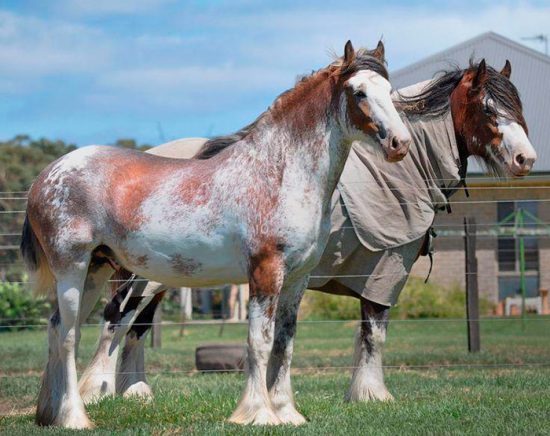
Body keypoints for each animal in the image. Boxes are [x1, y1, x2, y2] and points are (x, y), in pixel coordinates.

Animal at [19, 41, 412, 430]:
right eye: (358, 92)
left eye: (389, 91)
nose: (399, 144)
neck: (279, 174)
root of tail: (47, 175)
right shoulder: (265, 272)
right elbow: (259, 342)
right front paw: (258, 413)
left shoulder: (297, 279)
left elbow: (284, 344)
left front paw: (287, 412)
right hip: (73, 268)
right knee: (69, 336)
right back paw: (74, 418)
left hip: (96, 270)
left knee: (55, 329)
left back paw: (49, 414)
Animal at [80, 58, 536, 408]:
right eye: (489, 110)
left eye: (518, 106)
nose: (526, 159)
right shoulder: (384, 271)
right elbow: (374, 332)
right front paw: (372, 395)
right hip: (142, 277)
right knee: (117, 320)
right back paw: (98, 391)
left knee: (135, 328)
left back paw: (135, 392)